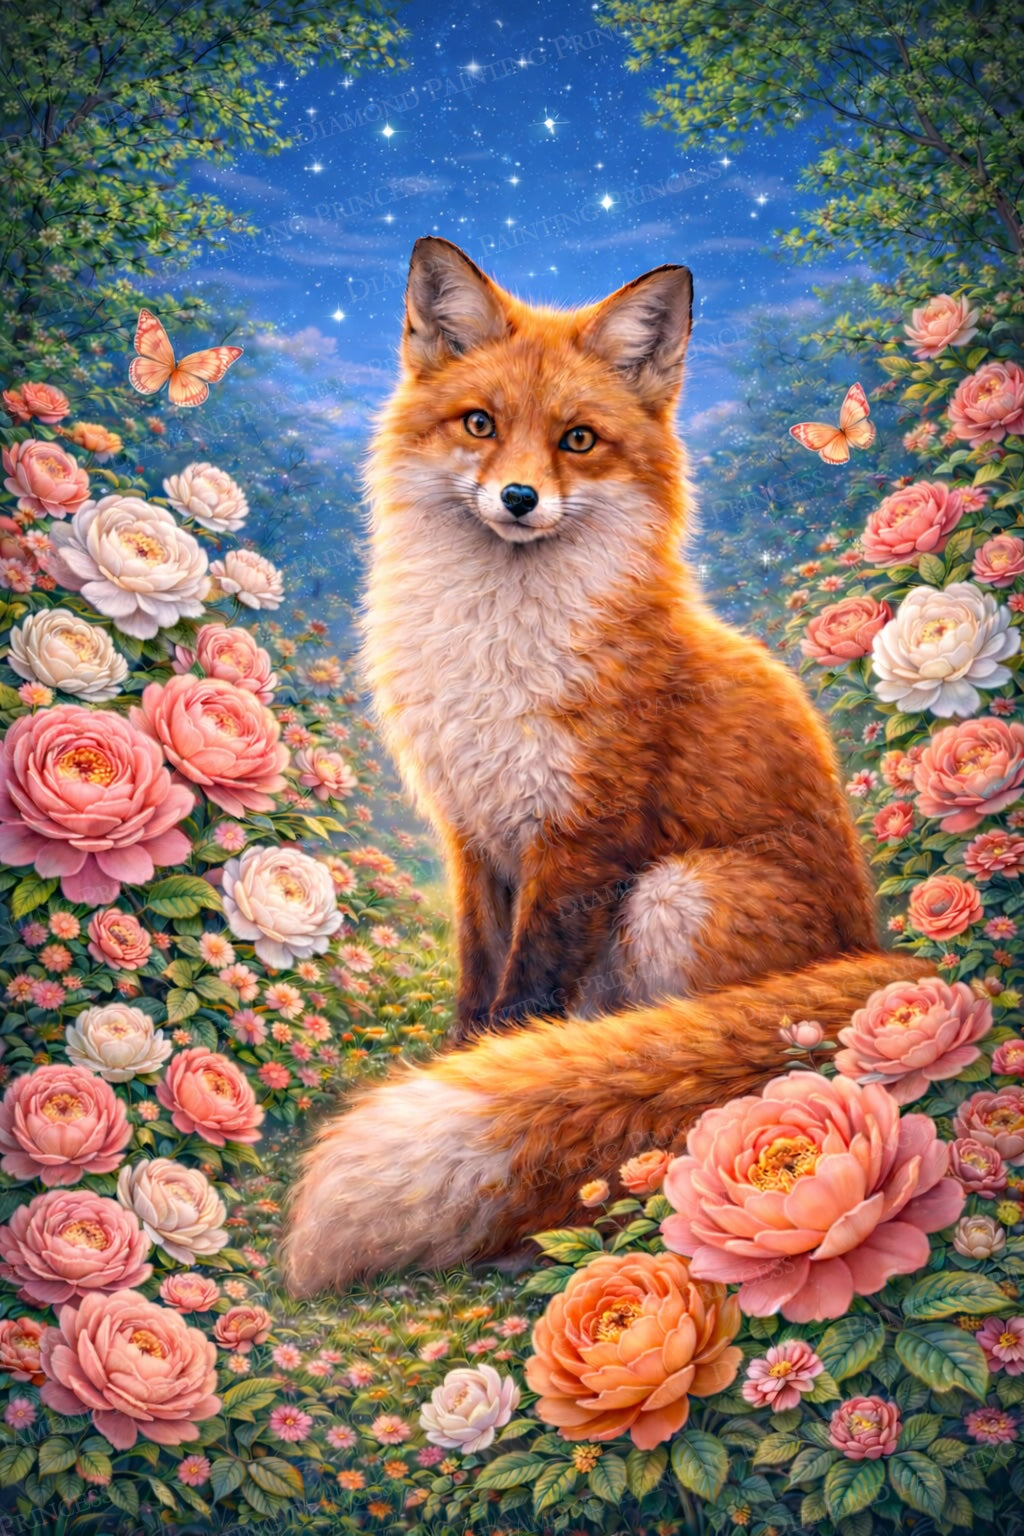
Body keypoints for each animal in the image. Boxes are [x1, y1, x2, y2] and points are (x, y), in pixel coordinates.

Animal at [281, 236, 931, 1297]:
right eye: (480, 425)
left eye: (578, 440)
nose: (518, 498)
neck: (499, 650)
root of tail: (875, 953)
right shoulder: (476, 836)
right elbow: (479, 987)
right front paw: (458, 1064)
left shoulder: (582, 836)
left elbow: (523, 1002)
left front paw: (500, 1074)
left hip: (675, 896)